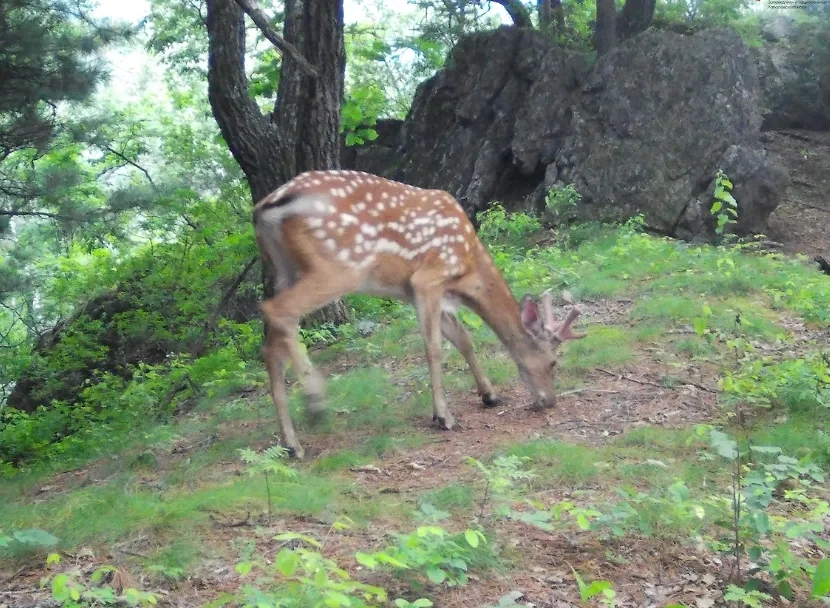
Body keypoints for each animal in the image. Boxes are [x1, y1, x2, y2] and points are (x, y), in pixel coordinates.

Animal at [254, 169, 584, 458]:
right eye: (553, 362)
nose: (549, 402)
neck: (468, 270)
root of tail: (265, 207)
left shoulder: (417, 293)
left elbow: (463, 339)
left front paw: (489, 395)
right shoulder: (428, 279)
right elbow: (435, 348)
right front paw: (443, 416)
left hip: (282, 269)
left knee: (270, 345)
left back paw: (291, 444)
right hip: (338, 267)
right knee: (277, 311)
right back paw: (315, 402)